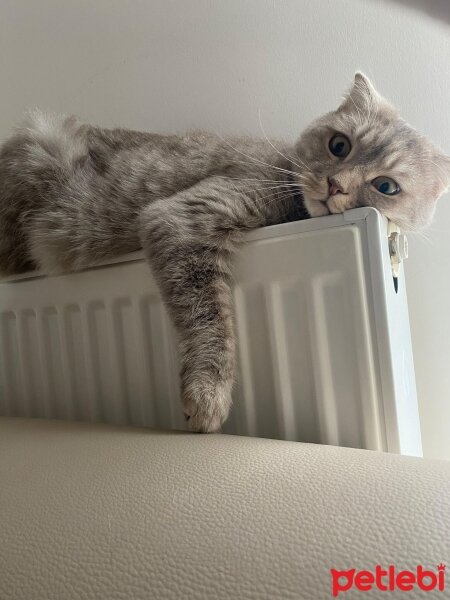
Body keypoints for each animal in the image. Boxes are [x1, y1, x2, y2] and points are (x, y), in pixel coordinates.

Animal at [0, 74, 448, 432]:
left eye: (386, 186)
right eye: (339, 145)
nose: (336, 185)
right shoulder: (182, 217)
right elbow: (210, 320)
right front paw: (208, 394)